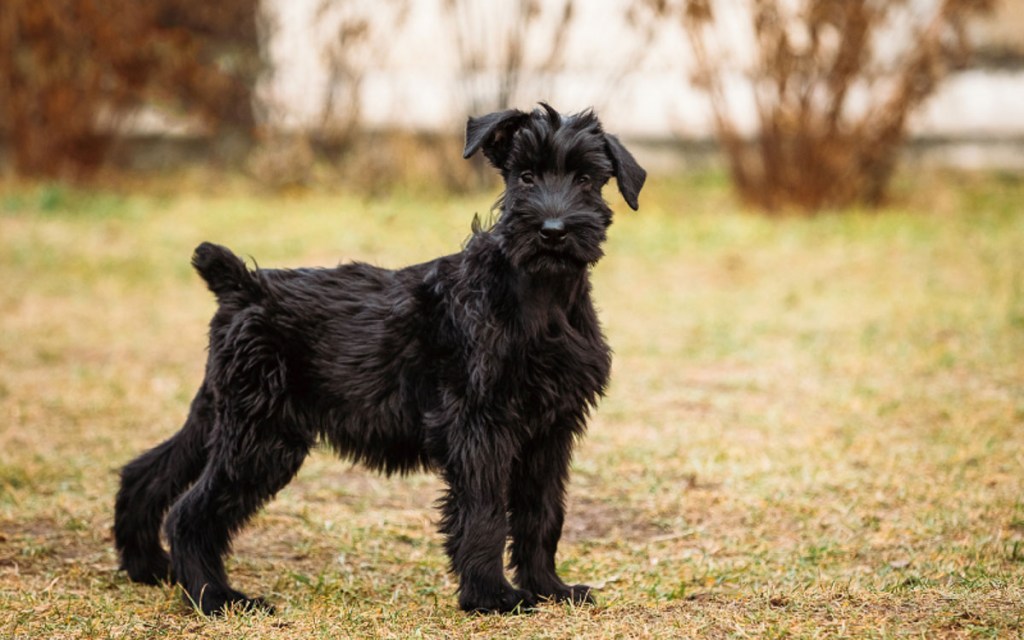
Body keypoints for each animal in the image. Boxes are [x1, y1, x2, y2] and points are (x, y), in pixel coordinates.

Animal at [114, 103, 647, 614]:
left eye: (586, 179)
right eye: (526, 176)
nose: (553, 231)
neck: (541, 298)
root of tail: (242, 285)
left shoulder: (551, 431)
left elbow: (542, 514)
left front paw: (548, 589)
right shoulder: (480, 426)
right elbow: (485, 513)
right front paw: (491, 597)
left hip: (223, 414)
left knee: (147, 472)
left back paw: (148, 566)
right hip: (262, 438)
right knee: (189, 513)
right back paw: (216, 598)